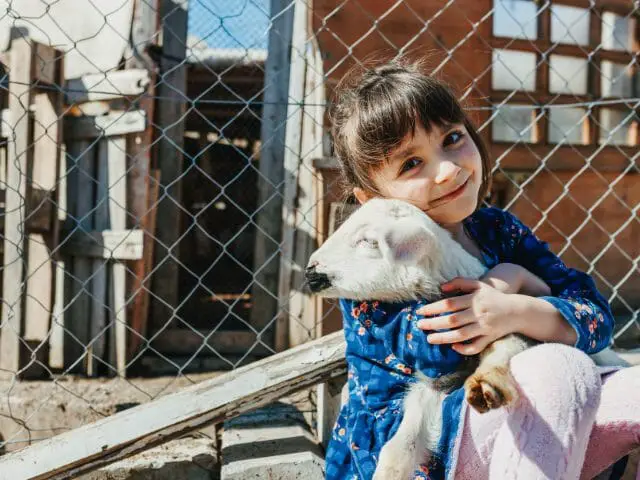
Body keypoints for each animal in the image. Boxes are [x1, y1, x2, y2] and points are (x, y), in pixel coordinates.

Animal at [304, 198, 528, 480]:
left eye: (367, 241)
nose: (309, 270)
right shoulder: (434, 384)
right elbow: (400, 445)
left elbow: (507, 345)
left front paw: (489, 386)